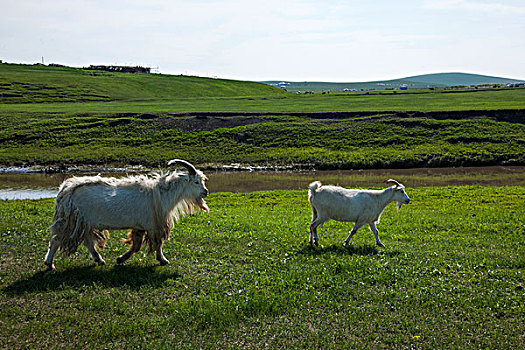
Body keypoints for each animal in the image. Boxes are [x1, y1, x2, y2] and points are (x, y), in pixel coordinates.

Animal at [44, 159, 209, 270]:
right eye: (195, 182)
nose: (206, 192)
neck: (162, 193)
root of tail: (66, 190)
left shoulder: (141, 226)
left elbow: (136, 246)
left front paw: (120, 259)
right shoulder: (153, 225)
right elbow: (157, 244)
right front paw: (163, 260)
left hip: (84, 222)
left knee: (88, 241)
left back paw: (99, 259)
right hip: (72, 221)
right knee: (56, 240)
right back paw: (49, 264)